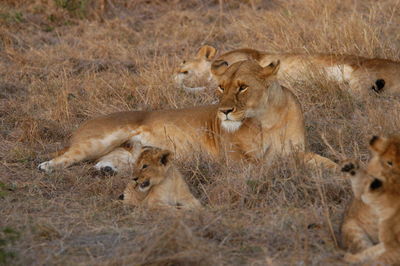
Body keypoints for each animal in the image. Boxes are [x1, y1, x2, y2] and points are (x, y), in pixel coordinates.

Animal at [39, 59, 336, 172]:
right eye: (221, 87)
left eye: (242, 87)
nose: (223, 111)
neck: (267, 119)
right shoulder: (235, 161)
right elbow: (266, 165)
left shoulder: (297, 150)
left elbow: (325, 161)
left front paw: (341, 169)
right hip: (99, 139)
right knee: (68, 155)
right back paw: (47, 166)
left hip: (124, 155)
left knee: (105, 162)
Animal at [340, 136, 400, 264]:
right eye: (389, 162)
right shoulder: (363, 192)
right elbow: (360, 189)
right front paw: (350, 166)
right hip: (353, 230)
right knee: (364, 248)